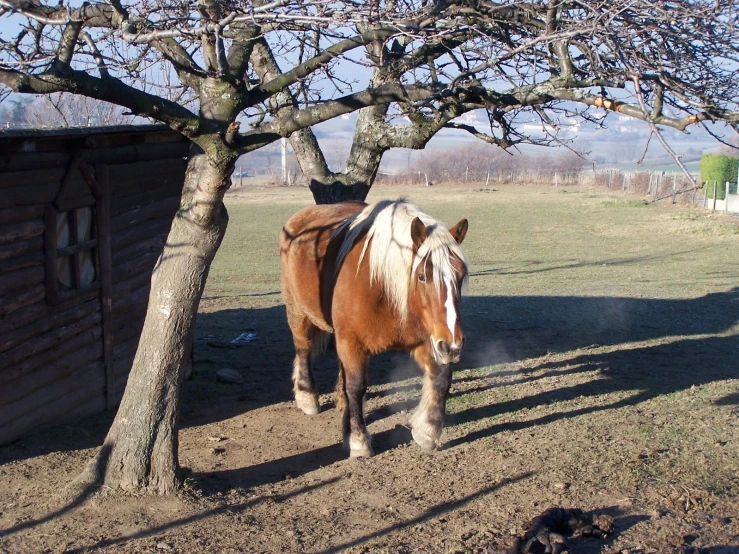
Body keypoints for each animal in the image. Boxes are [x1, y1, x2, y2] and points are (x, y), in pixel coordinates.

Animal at [278, 201, 468, 454]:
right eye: (422, 276)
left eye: (461, 275)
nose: (452, 345)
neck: (383, 288)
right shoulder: (353, 342)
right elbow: (357, 386)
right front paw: (358, 440)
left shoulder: (427, 340)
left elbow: (442, 379)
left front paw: (428, 430)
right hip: (298, 313)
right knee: (303, 349)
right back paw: (307, 396)